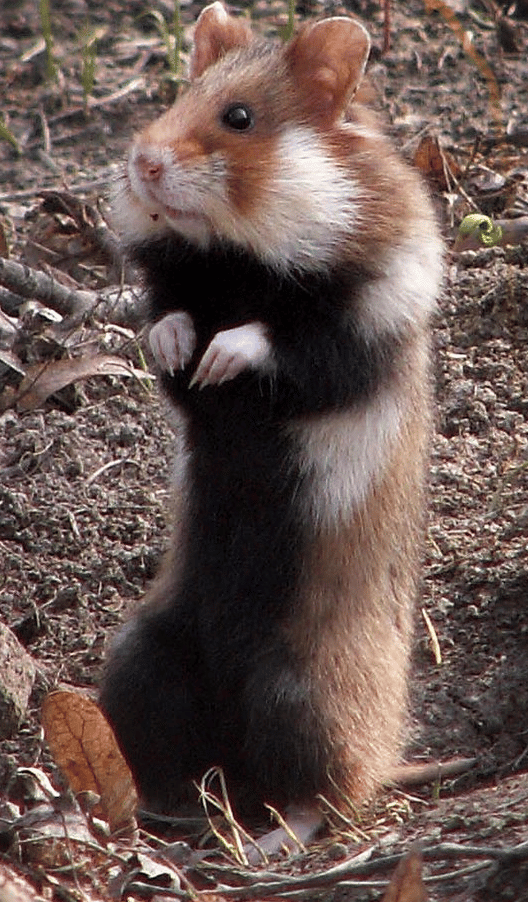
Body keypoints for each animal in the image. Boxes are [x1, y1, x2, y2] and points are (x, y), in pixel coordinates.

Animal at [99, 1, 442, 860]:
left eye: (240, 117)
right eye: (178, 95)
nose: (142, 162)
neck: (242, 253)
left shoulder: (365, 325)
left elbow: (282, 341)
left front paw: (223, 354)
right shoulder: (180, 287)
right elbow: (171, 321)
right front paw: (178, 345)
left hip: (303, 692)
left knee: (326, 792)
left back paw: (268, 843)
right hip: (141, 658)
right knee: (178, 759)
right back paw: (164, 814)